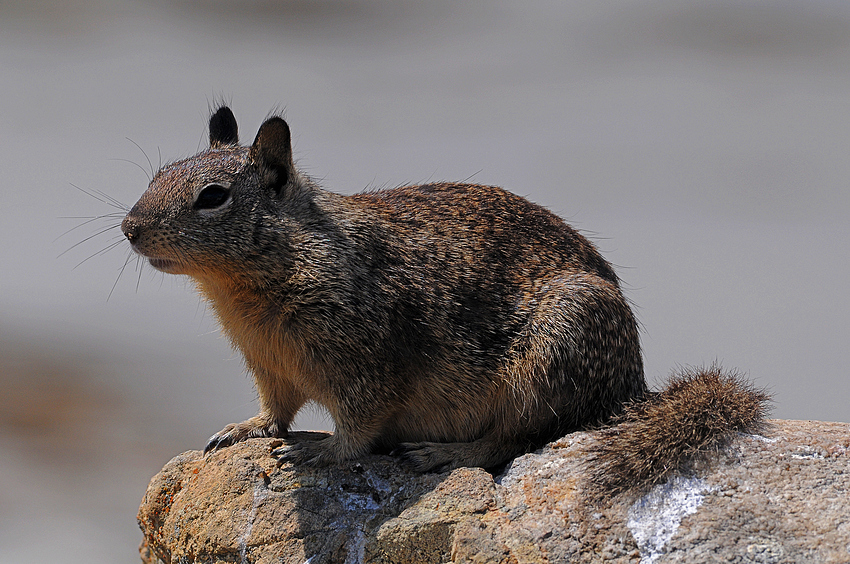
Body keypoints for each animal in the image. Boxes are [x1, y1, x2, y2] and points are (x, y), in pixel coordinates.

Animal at [121, 106, 768, 494]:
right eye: (158, 173)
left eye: (212, 196)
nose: (129, 227)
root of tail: (635, 388)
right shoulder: (268, 364)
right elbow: (276, 410)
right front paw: (246, 429)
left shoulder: (370, 361)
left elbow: (360, 425)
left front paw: (323, 454)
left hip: (552, 358)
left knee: (514, 440)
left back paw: (441, 455)